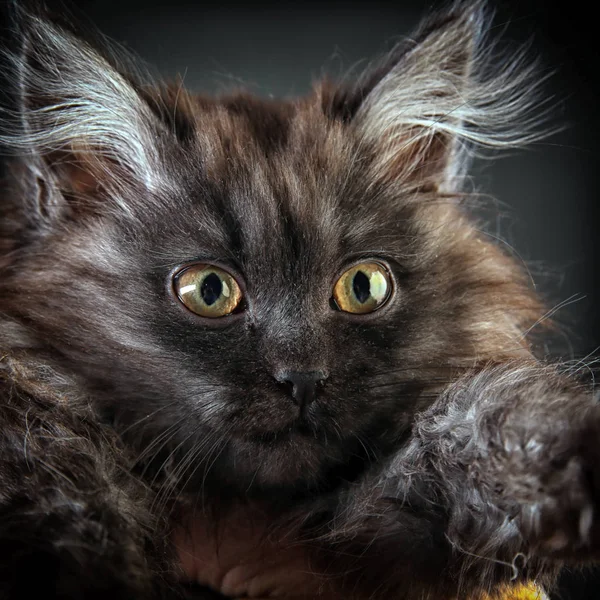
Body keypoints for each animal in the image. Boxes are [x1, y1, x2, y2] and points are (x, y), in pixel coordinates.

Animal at [1, 0, 600, 596]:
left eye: (363, 286)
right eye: (208, 291)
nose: (303, 379)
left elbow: (471, 418)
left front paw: (564, 453)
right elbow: (60, 469)